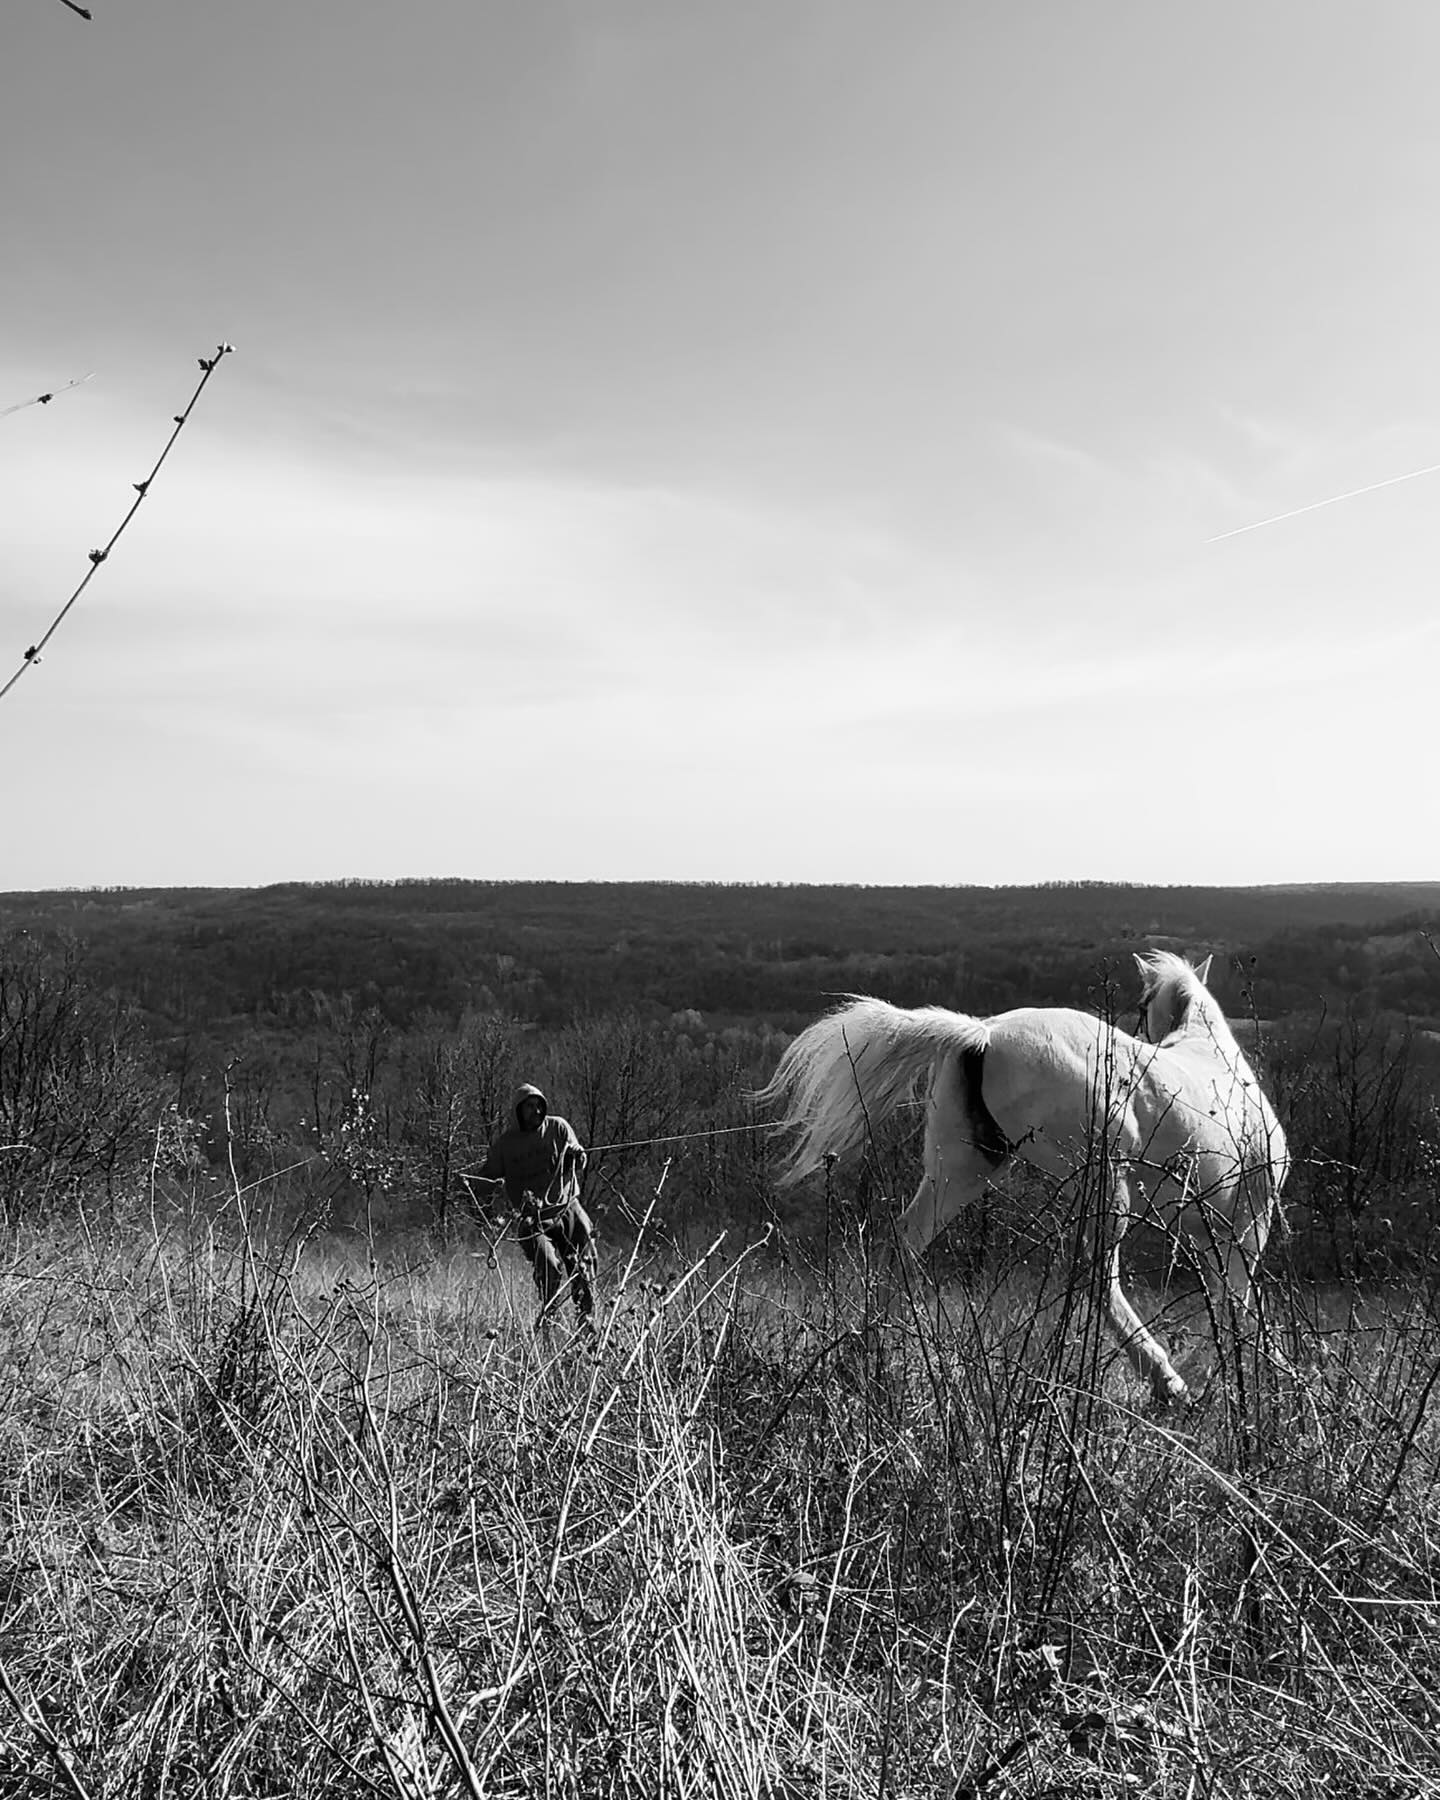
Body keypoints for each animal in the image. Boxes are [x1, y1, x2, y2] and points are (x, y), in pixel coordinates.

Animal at [758, 952, 1290, 1404]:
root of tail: (981, 1035)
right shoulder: (1248, 1222)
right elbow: (1237, 1300)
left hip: (962, 1171)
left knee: (903, 1244)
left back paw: (868, 1361)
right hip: (1105, 1185)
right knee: (1099, 1278)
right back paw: (1168, 1382)